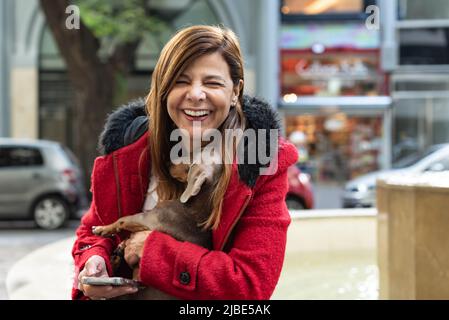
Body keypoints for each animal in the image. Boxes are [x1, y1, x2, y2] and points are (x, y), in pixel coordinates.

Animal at [91, 159, 222, 298]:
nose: (169, 163)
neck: (197, 209)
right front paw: (121, 245)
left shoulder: (144, 219)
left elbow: (121, 220)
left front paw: (101, 229)